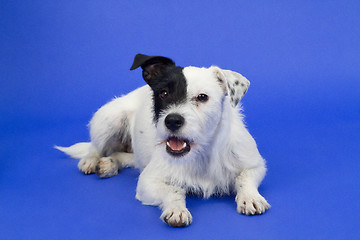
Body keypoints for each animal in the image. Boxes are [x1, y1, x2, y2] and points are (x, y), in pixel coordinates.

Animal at [55, 54, 270, 227]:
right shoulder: (147, 182)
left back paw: (110, 163)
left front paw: (250, 197)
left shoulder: (255, 165)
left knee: (125, 156)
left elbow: (244, 178)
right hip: (108, 120)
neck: (201, 152)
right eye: (163, 93)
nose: (172, 120)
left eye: (202, 97)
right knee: (95, 147)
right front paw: (177, 209)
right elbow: (174, 190)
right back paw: (91, 161)